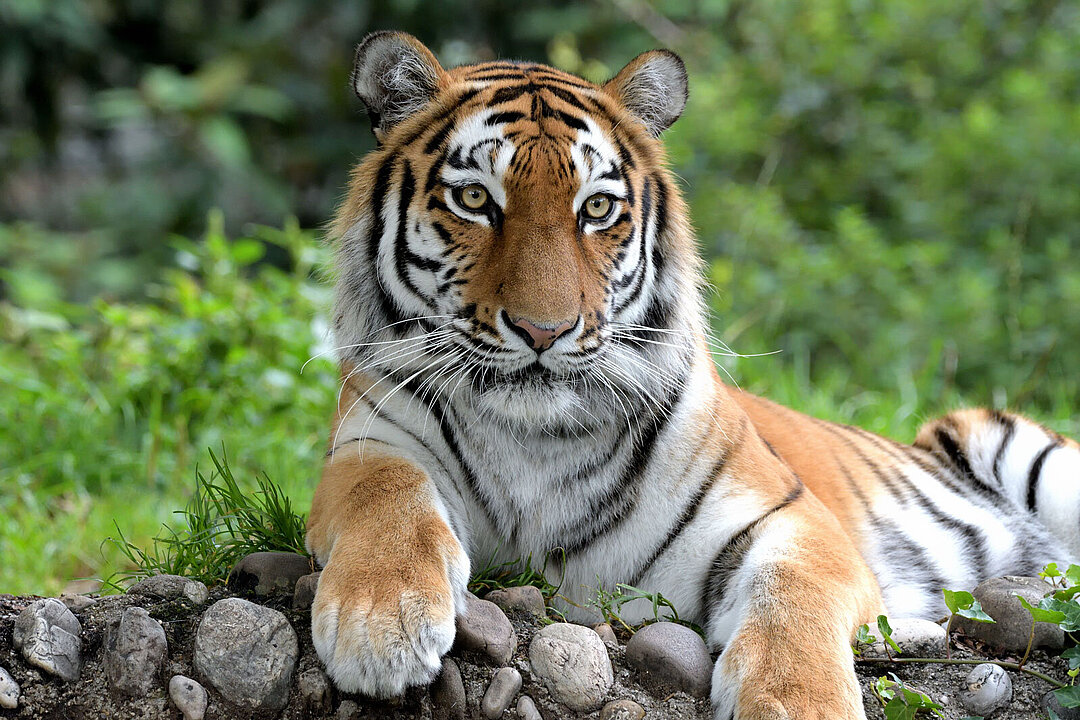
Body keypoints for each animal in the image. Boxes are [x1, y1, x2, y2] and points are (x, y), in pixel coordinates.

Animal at [306, 32, 1080, 720]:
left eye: (596, 208)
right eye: (473, 200)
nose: (544, 331)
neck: (536, 439)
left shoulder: (790, 517)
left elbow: (792, 600)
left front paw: (800, 704)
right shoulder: (370, 444)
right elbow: (387, 500)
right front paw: (382, 627)